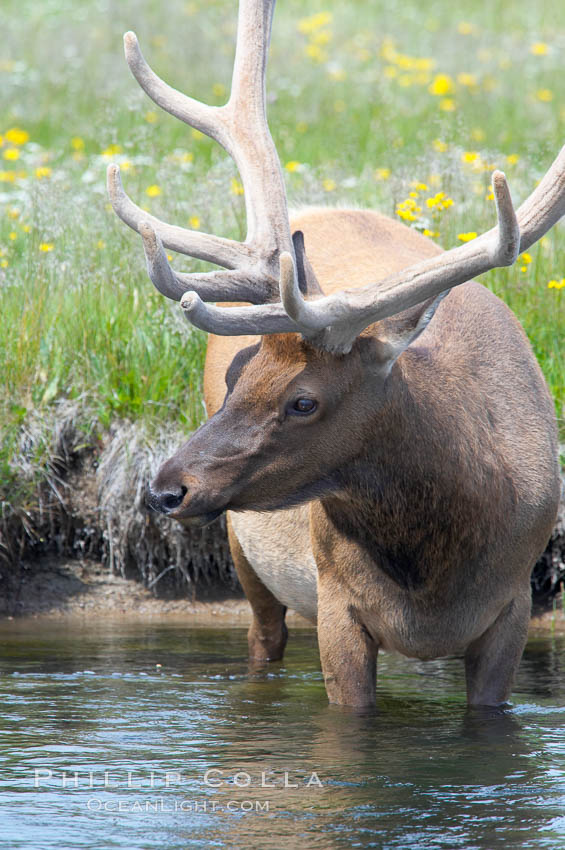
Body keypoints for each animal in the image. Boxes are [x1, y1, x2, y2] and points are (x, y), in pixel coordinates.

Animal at [108, 0, 560, 708]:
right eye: (238, 375)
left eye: (304, 401)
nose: (165, 488)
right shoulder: (338, 602)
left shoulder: (514, 607)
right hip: (242, 546)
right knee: (263, 640)